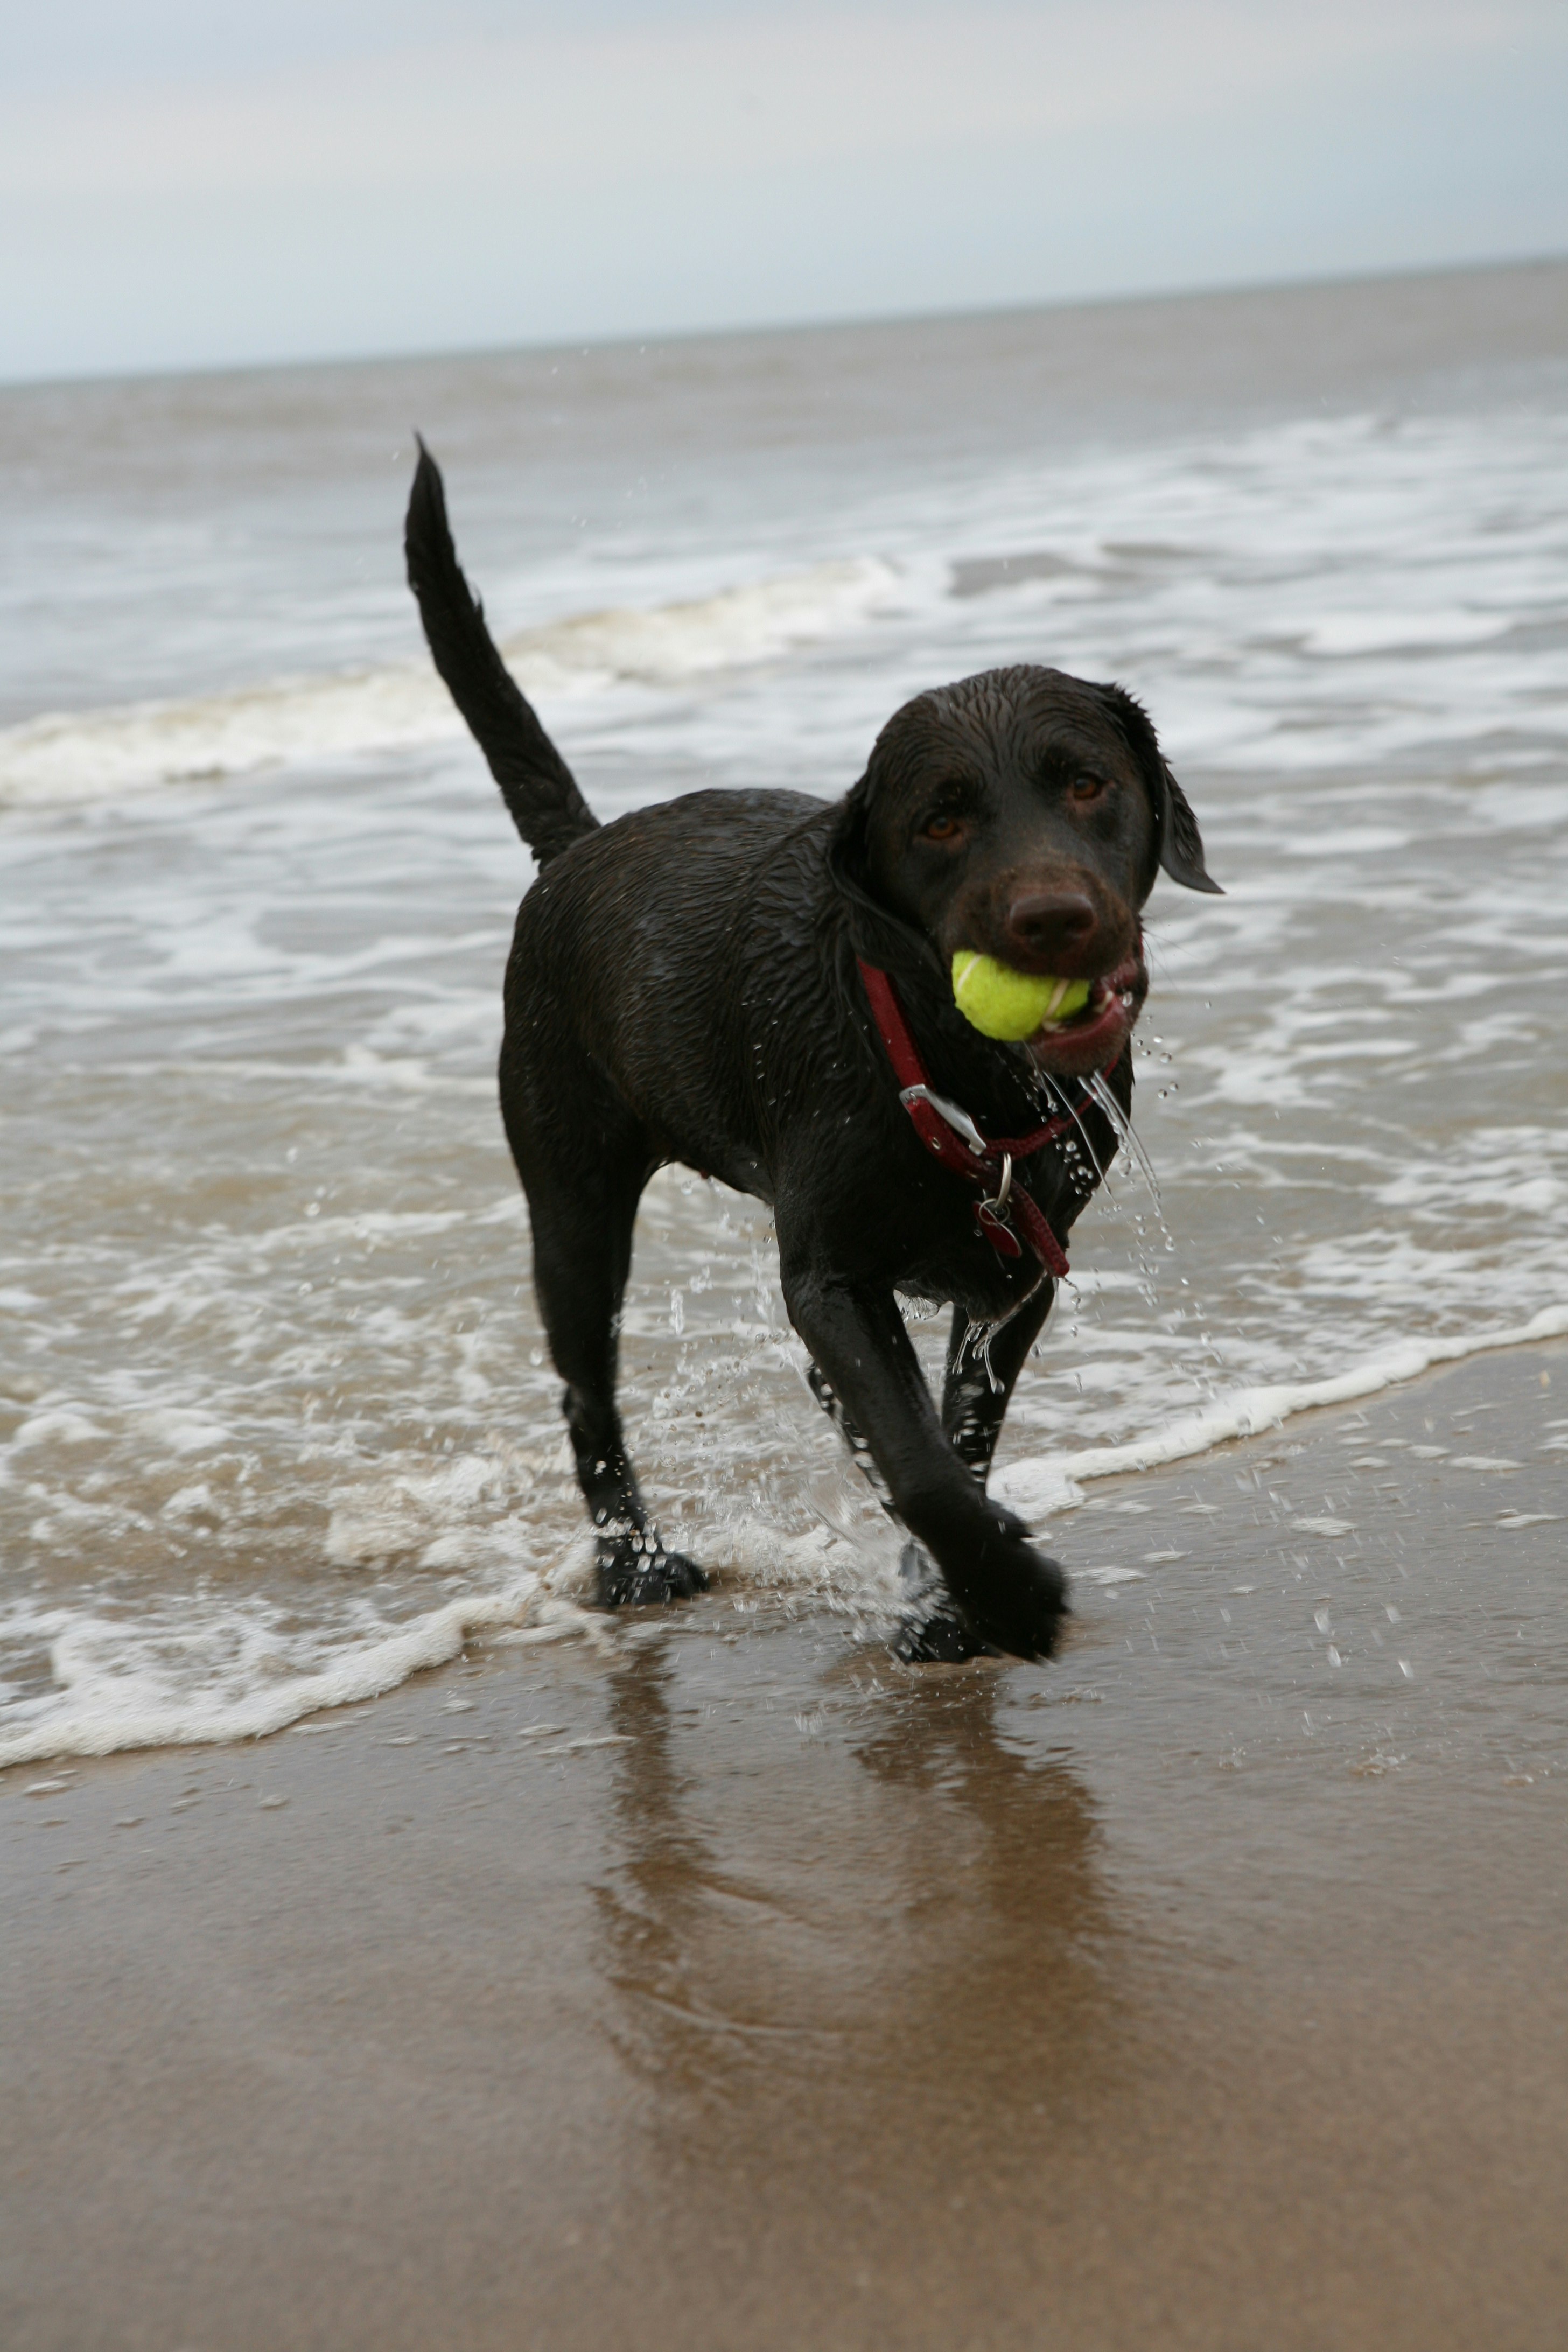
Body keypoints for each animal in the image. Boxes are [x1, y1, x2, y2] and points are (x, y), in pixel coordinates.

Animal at [402, 437, 1213, 1656]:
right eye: (939, 819)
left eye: (1085, 782)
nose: (1053, 920)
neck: (952, 1073)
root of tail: (577, 850)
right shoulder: (829, 1281)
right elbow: (917, 1463)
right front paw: (1008, 1593)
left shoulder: (1016, 1278)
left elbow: (951, 1438)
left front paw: (947, 1602)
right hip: (571, 1200)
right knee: (587, 1393)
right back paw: (632, 1564)